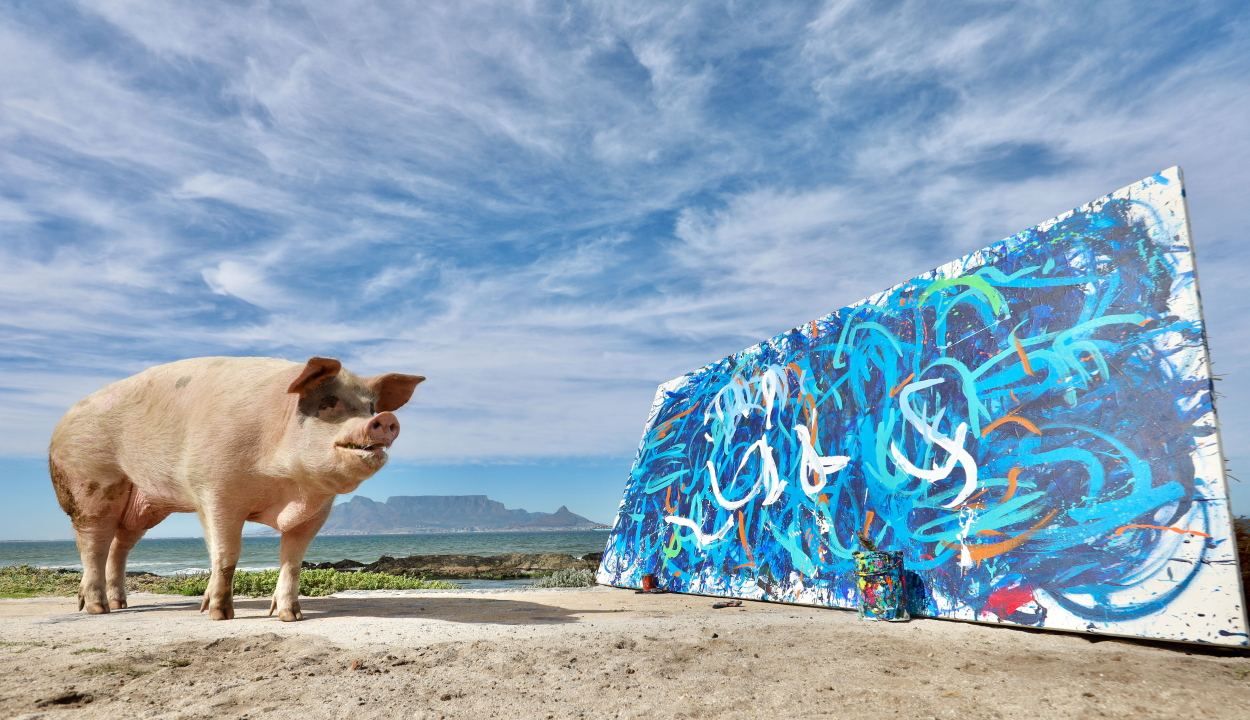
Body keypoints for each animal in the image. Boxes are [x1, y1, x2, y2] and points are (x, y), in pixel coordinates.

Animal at [47, 357, 425, 622]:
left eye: (370, 407)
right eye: (328, 403)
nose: (386, 419)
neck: (289, 487)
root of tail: (61, 423)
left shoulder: (317, 511)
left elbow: (292, 561)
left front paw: (290, 616)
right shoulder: (216, 491)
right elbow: (226, 555)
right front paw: (218, 615)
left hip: (144, 506)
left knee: (120, 545)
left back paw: (119, 604)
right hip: (90, 483)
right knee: (93, 542)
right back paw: (97, 609)